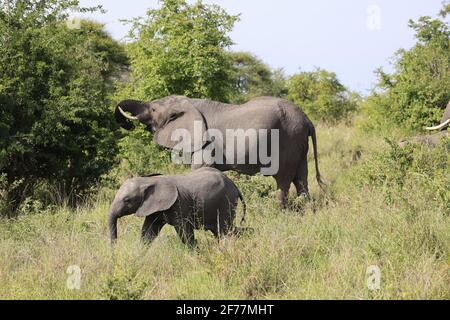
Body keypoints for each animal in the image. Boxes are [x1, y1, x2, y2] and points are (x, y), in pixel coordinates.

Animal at [108, 169, 246, 246]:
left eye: (127, 200)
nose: (115, 248)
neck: (148, 180)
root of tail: (235, 186)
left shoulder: (179, 205)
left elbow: (184, 232)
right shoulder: (155, 208)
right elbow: (148, 232)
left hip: (226, 202)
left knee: (224, 230)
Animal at [114, 95, 326, 208]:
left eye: (153, 109)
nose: (124, 120)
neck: (188, 103)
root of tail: (307, 120)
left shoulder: (206, 143)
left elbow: (199, 169)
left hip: (288, 140)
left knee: (283, 181)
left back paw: (279, 212)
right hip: (299, 143)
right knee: (301, 179)